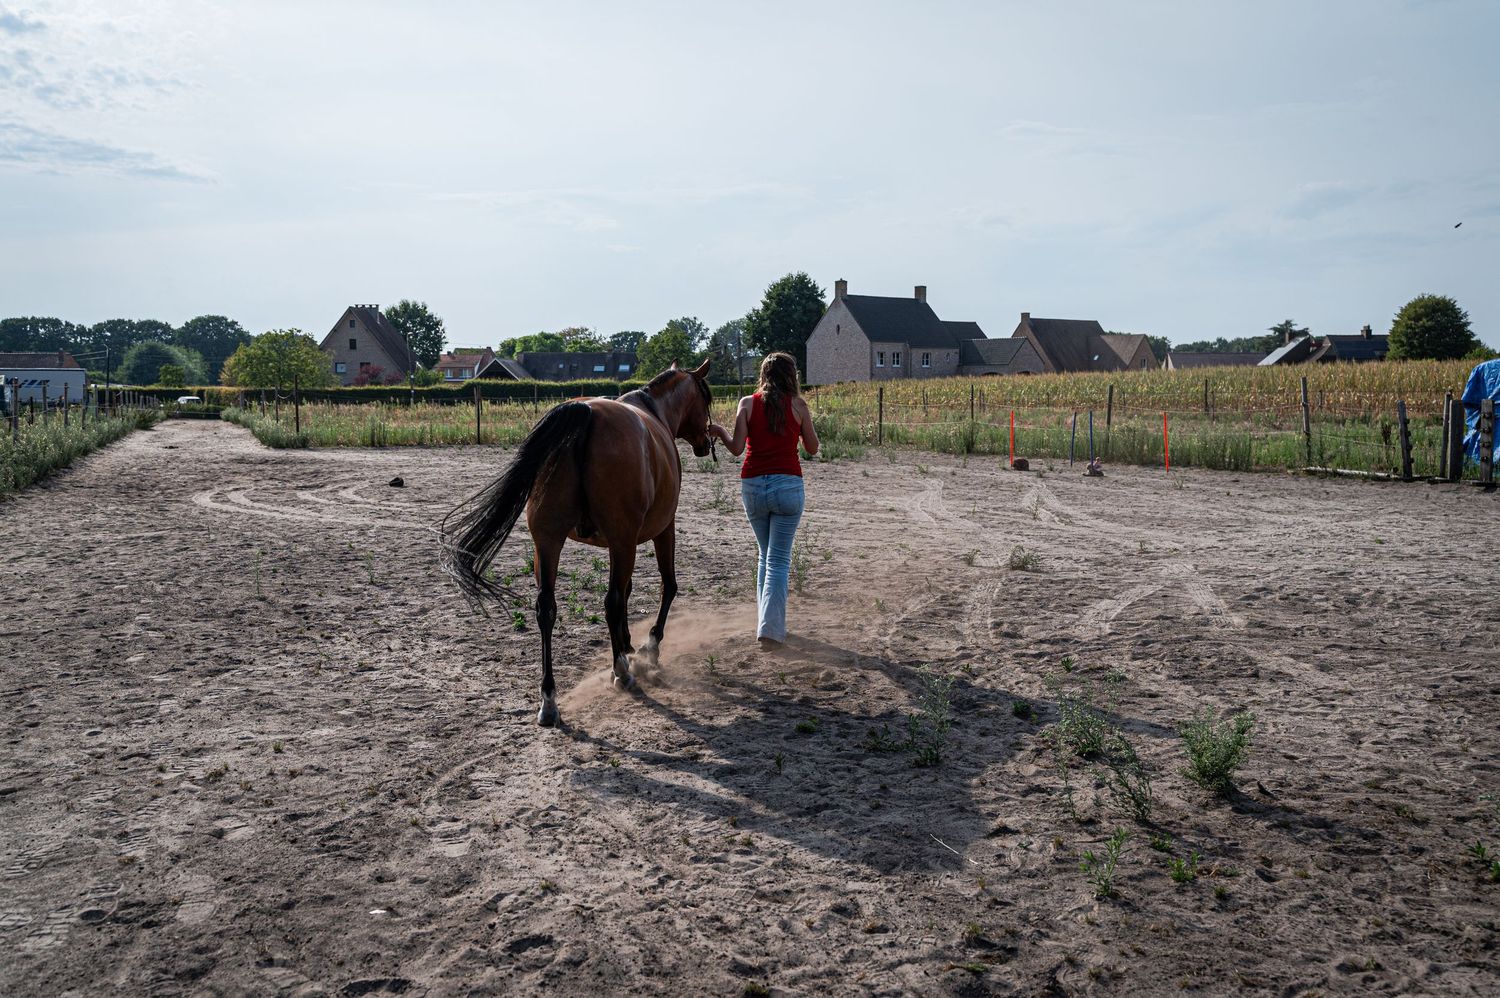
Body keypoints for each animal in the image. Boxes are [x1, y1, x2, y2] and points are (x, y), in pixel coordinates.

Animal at [440, 360, 715, 727]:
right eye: (706, 398)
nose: (706, 442)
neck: (654, 412)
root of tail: (585, 412)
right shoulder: (658, 530)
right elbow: (665, 587)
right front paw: (648, 647)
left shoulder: (616, 543)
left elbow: (628, 590)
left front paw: (627, 644)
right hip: (620, 539)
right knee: (611, 601)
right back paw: (620, 672)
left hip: (549, 542)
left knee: (546, 608)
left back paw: (549, 699)